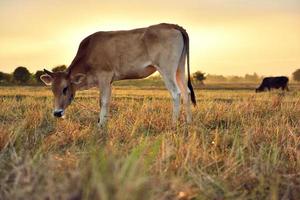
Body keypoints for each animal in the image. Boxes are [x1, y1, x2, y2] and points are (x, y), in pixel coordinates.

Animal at [40, 23, 197, 126]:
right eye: (52, 90)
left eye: (65, 88)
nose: (57, 113)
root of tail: (172, 25)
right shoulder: (109, 81)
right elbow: (107, 102)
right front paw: (104, 123)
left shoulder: (104, 77)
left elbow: (102, 101)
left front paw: (100, 126)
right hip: (179, 69)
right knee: (186, 92)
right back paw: (189, 123)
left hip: (166, 69)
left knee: (176, 93)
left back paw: (173, 124)